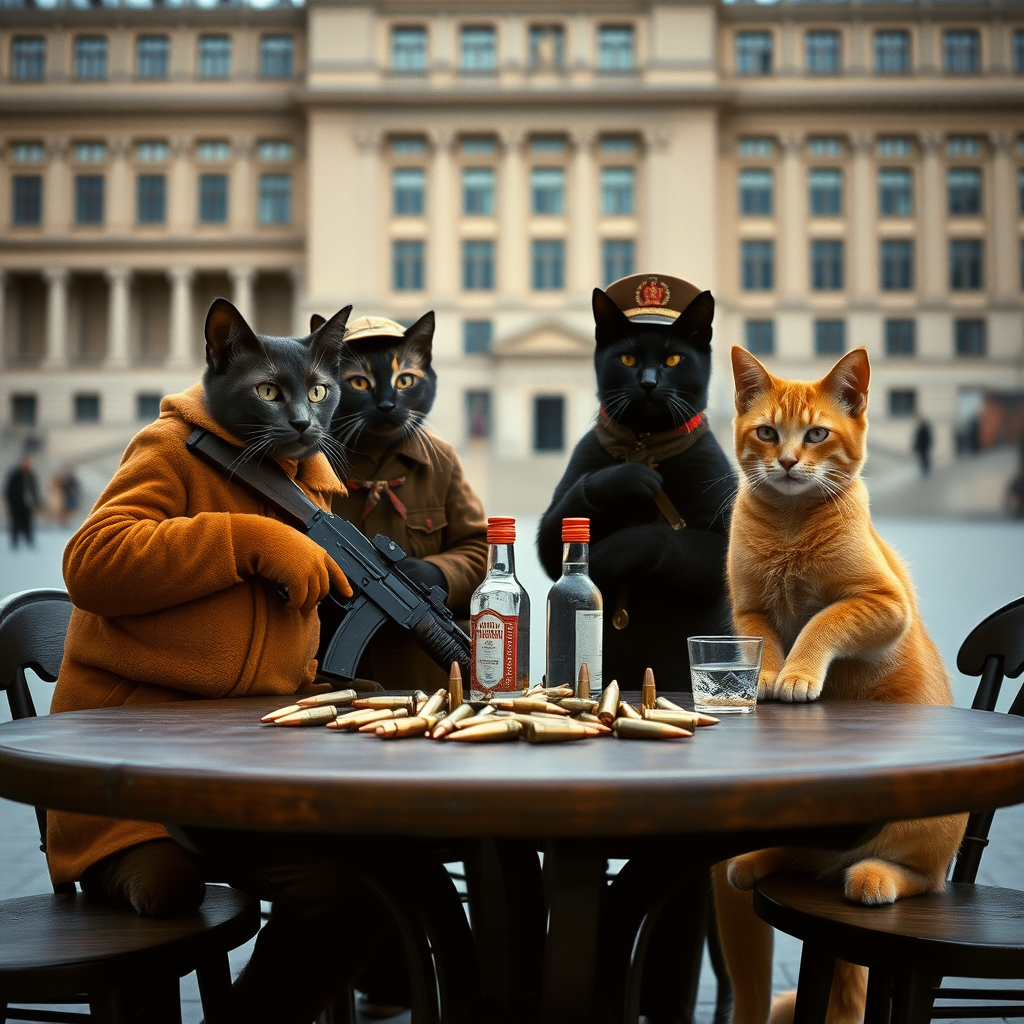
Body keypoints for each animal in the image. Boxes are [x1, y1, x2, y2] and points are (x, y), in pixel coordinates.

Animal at [536, 284, 737, 692]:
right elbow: (554, 539)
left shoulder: (722, 527)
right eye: (627, 358)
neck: (645, 445)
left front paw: (609, 554)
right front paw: (629, 478)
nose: (648, 382)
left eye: (674, 358)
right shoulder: (563, 504)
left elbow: (655, 540)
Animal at [712, 348, 966, 1024]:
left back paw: (873, 878)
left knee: (914, 877)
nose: (787, 461)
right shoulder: (749, 611)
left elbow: (820, 623)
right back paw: (754, 862)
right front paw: (769, 678)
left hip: (924, 838)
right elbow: (767, 645)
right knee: (803, 857)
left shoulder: (882, 603)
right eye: (767, 432)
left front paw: (798, 676)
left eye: (817, 434)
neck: (788, 524)